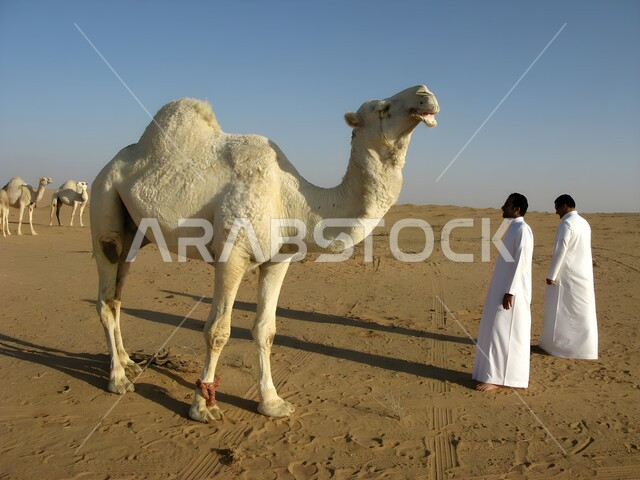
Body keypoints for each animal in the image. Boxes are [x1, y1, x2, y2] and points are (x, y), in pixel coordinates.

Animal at [90, 85, 439, 423]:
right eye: (383, 108)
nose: (425, 94)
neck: (292, 200)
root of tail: (108, 165)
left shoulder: (279, 259)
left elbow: (266, 330)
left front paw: (272, 402)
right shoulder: (231, 255)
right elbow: (217, 331)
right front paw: (203, 407)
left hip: (135, 233)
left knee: (118, 295)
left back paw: (128, 362)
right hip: (104, 200)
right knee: (106, 297)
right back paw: (119, 379)